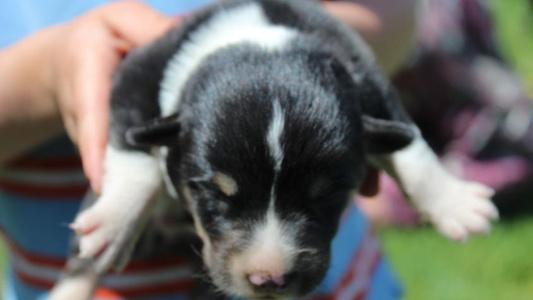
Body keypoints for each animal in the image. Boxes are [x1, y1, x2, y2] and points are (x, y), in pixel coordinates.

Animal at [48, 1, 498, 298]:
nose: (269, 280)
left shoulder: (373, 87)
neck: (261, 44)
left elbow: (410, 145)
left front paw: (457, 204)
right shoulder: (136, 75)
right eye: (215, 195)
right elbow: (131, 147)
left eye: (328, 196)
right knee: (78, 271)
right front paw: (113, 221)